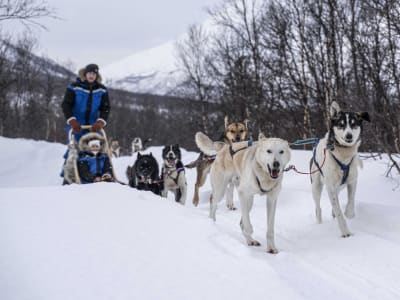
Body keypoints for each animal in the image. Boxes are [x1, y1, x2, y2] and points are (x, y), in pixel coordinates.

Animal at [310, 101, 370, 237]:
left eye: (353, 124)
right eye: (341, 125)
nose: (349, 135)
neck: (343, 155)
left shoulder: (352, 181)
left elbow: (351, 201)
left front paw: (349, 213)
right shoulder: (330, 186)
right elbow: (338, 212)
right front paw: (345, 232)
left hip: (340, 186)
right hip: (316, 186)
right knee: (318, 208)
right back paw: (319, 222)